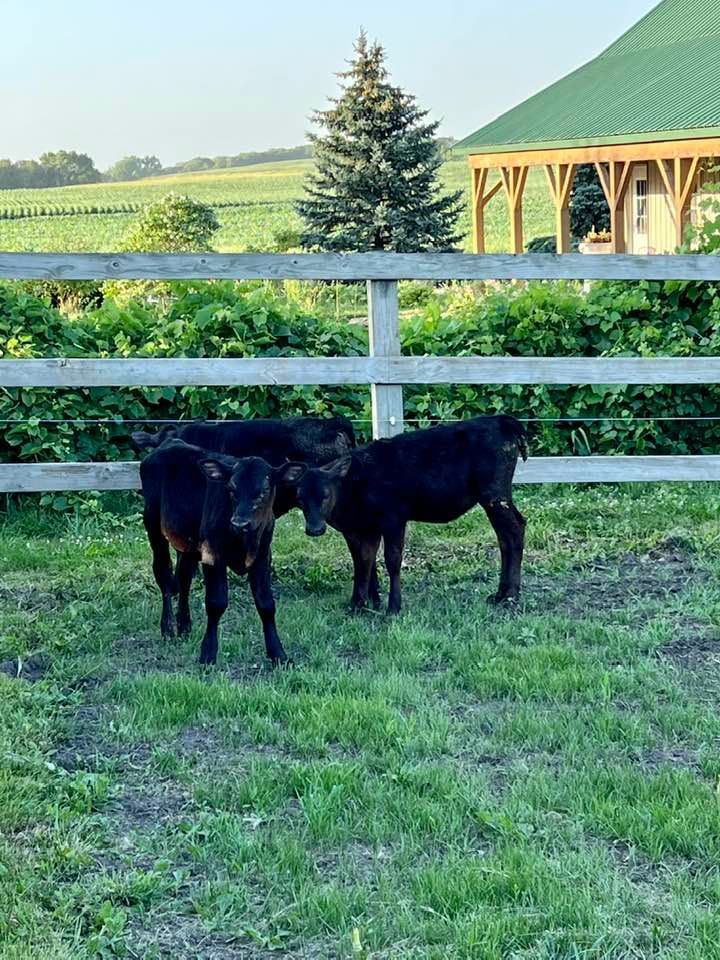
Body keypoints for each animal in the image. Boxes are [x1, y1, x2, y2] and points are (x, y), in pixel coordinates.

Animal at [139, 439, 305, 665]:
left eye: (263, 491)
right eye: (231, 489)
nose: (240, 523)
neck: (244, 541)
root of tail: (169, 442)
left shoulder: (263, 556)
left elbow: (266, 604)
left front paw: (278, 654)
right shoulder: (212, 553)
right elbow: (216, 603)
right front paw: (208, 654)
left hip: (188, 543)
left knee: (184, 579)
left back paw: (184, 626)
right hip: (153, 524)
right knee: (164, 574)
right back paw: (168, 627)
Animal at [288, 416, 528, 615]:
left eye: (326, 495)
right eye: (299, 497)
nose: (314, 529)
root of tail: (502, 420)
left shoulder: (393, 518)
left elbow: (392, 560)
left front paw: (393, 607)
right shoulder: (362, 529)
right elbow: (362, 561)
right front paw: (358, 605)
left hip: (495, 495)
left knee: (514, 531)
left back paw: (509, 596)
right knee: (506, 535)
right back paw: (501, 594)